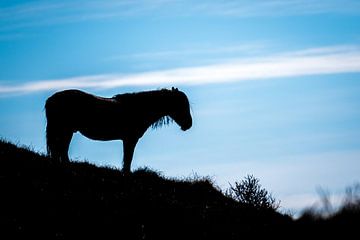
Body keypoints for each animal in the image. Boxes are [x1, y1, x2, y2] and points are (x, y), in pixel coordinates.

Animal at [45, 87, 193, 172]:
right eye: (181, 104)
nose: (188, 124)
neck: (139, 109)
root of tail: (51, 99)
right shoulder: (130, 139)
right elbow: (128, 158)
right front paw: (126, 173)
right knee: (61, 150)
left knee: (60, 150)